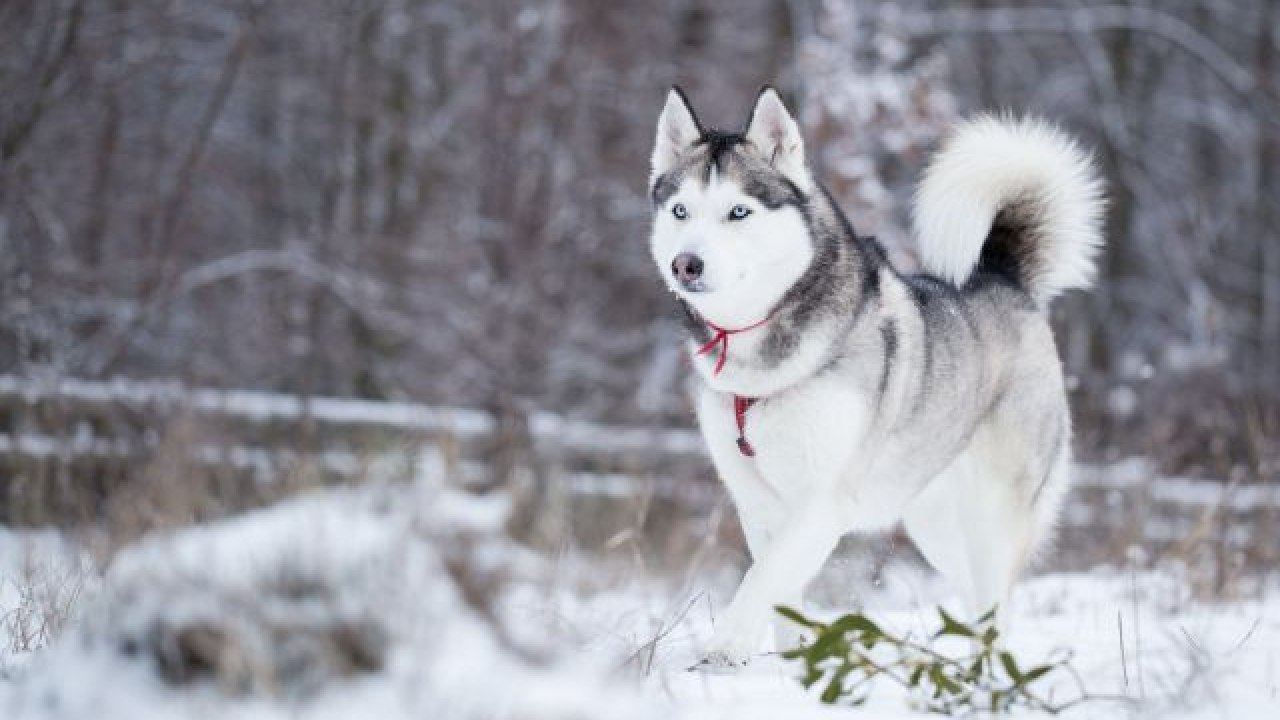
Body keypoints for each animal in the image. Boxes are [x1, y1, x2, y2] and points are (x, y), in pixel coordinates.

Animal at [645, 87, 1105, 666]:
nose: (686, 264)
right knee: (976, 593)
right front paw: (790, 664)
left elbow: (762, 578)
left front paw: (727, 647)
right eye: (680, 210)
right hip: (935, 522)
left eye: (738, 212)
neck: (761, 360)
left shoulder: (824, 499)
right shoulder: (758, 503)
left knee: (997, 602)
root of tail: (1004, 279)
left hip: (994, 514)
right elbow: (779, 590)